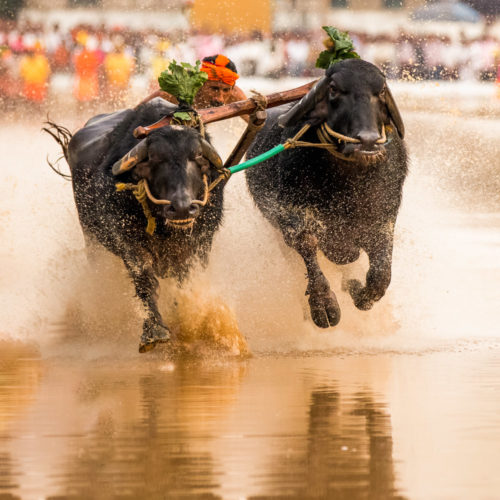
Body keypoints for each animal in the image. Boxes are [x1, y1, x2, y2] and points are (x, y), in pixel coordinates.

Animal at [46, 99, 226, 352]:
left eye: (198, 157)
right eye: (153, 159)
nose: (182, 208)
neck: (164, 227)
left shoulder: (201, 242)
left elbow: (185, 280)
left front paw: (187, 320)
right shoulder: (129, 242)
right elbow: (144, 280)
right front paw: (155, 331)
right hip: (92, 239)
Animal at [245, 58, 406, 328]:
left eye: (381, 90)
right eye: (334, 89)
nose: (368, 141)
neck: (349, 186)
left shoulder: (383, 222)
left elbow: (381, 275)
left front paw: (358, 291)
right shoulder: (290, 216)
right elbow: (307, 245)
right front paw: (323, 304)